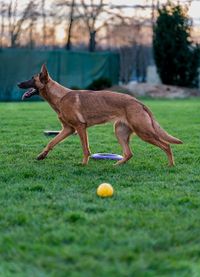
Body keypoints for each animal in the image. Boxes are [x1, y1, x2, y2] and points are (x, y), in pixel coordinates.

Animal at [18, 63, 182, 165]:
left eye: (32, 79)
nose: (18, 84)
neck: (60, 97)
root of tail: (138, 102)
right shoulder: (68, 129)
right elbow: (51, 142)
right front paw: (42, 155)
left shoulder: (80, 127)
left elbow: (85, 149)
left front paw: (83, 164)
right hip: (120, 132)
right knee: (129, 153)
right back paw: (116, 165)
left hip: (144, 132)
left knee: (166, 145)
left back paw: (171, 166)